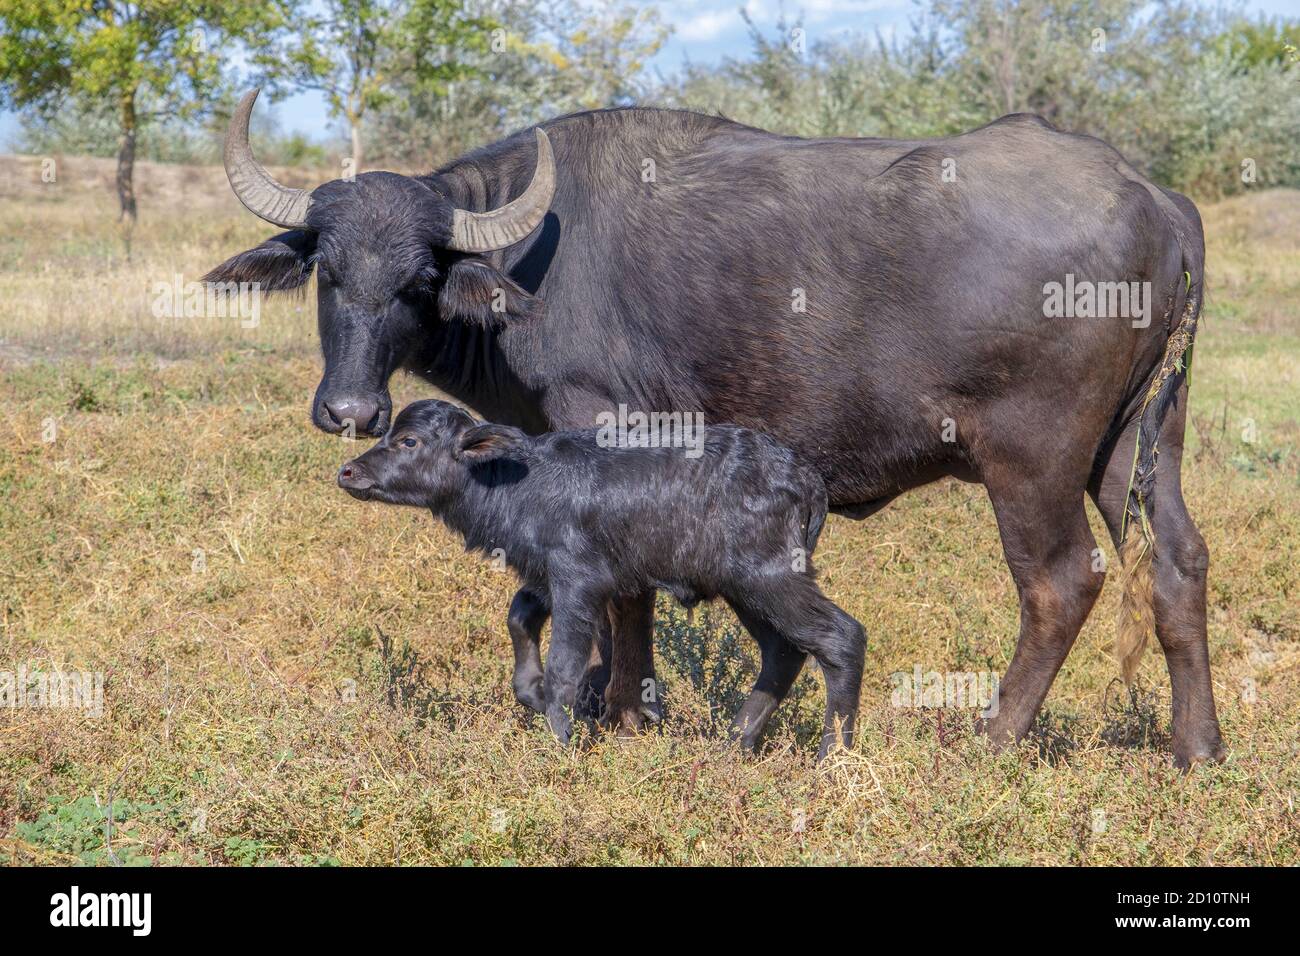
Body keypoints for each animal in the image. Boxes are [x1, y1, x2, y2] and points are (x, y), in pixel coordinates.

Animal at [208, 89, 1222, 770]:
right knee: (1179, 561)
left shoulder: (603, 427)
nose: (351, 412)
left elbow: (623, 594)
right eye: (329, 271)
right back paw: (1196, 747)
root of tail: (1153, 195)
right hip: (1140, 445)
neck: (532, 267)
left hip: (1032, 460)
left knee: (1060, 583)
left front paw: (620, 710)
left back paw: (994, 739)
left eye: (421, 275)